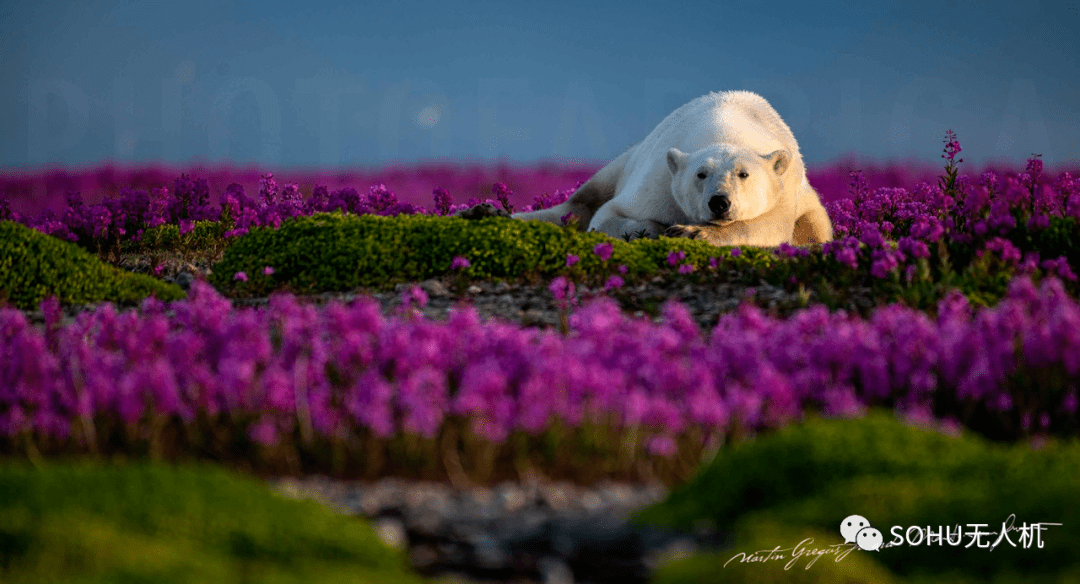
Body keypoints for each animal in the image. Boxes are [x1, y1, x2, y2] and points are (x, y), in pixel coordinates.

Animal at [510, 90, 833, 247]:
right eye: (701, 174)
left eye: (744, 174)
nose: (719, 202)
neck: (727, 126)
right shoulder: (659, 183)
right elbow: (611, 214)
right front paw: (662, 229)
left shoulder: (784, 189)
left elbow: (769, 226)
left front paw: (693, 233)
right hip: (626, 160)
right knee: (585, 197)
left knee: (817, 224)